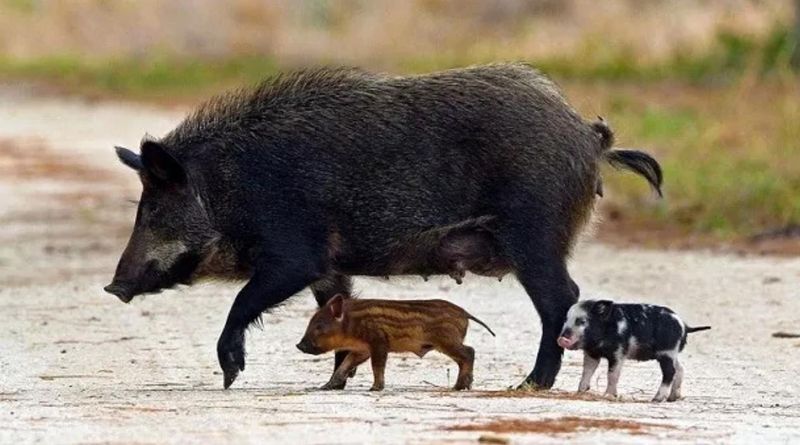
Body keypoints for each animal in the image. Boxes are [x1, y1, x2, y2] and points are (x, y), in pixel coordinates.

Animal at [296, 295, 495, 391]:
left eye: (319, 326)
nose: (299, 345)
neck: (351, 324)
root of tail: (465, 313)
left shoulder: (379, 343)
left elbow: (377, 365)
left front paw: (375, 388)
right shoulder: (362, 350)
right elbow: (344, 365)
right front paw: (324, 387)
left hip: (447, 341)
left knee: (469, 352)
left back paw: (459, 387)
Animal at [557, 300, 710, 402]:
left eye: (582, 321)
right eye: (565, 320)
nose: (562, 338)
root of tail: (684, 325)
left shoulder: (618, 353)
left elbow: (612, 375)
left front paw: (608, 396)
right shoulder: (592, 353)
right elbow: (587, 371)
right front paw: (580, 391)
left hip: (667, 352)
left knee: (670, 372)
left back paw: (656, 399)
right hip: (672, 354)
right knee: (680, 369)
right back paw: (673, 398)